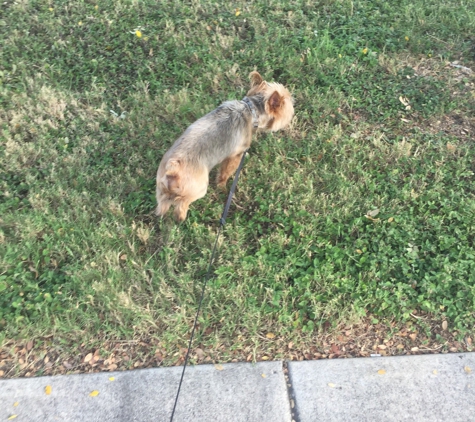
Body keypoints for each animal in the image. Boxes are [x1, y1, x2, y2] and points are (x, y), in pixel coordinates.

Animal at [156, 71, 294, 221]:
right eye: (288, 107)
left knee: (162, 205)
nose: (292, 116)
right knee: (181, 205)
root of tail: (173, 168)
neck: (251, 109)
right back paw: (182, 218)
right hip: (198, 189)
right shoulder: (235, 156)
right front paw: (222, 187)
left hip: (161, 188)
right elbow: (225, 173)